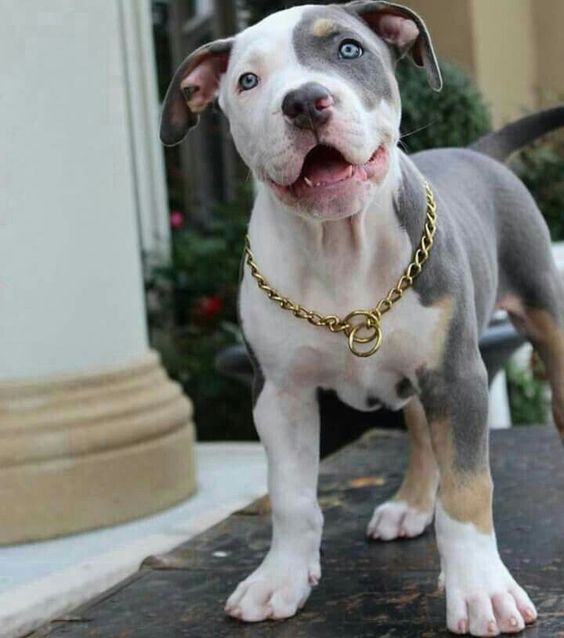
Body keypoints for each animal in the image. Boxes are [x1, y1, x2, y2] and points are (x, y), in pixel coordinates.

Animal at [159, 2, 564, 636]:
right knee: (420, 431)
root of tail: (476, 150)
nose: (304, 101)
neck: (338, 247)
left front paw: (482, 589)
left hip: (542, 308)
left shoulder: (457, 375)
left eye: (349, 49)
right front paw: (280, 578)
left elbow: (468, 487)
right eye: (247, 81)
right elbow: (292, 498)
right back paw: (411, 506)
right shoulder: (279, 395)